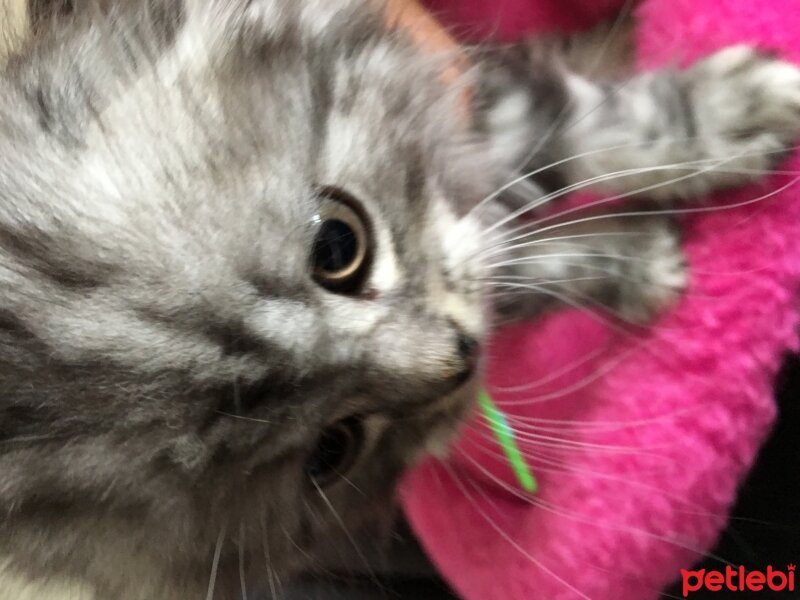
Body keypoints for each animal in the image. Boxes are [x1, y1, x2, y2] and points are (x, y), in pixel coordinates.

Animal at [1, 1, 800, 600]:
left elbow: (590, 129)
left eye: (338, 245)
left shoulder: (470, 97)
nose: (460, 359)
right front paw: (641, 264)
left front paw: (740, 114)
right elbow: (523, 255)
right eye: (332, 448)